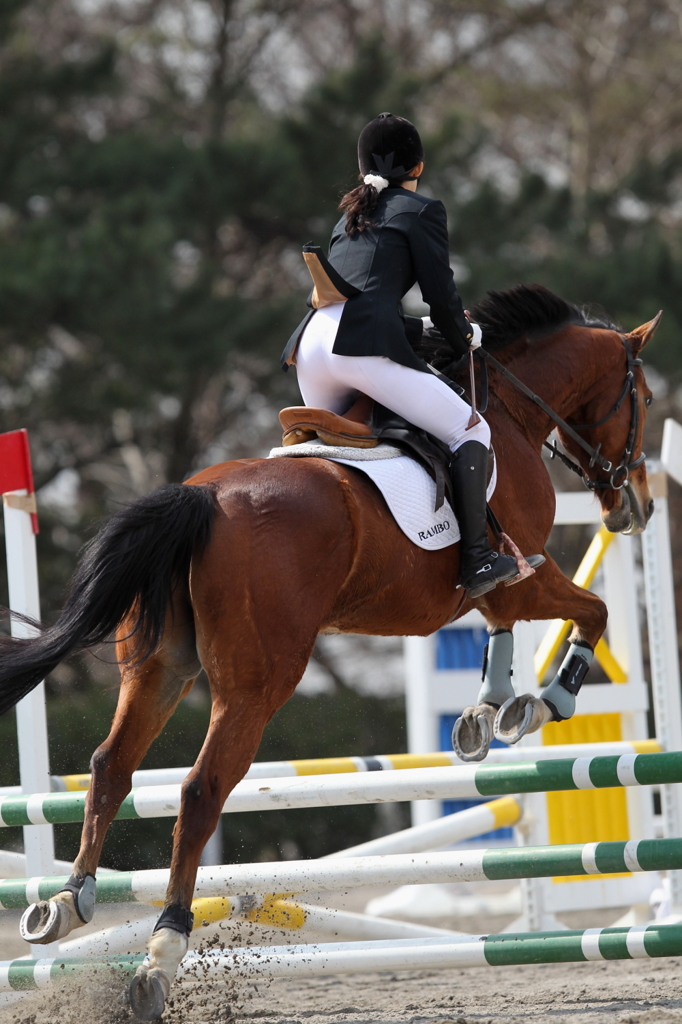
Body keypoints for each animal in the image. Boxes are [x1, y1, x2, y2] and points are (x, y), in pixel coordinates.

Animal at [0, 282, 655, 1015]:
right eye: (645, 398)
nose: (635, 506)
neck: (508, 416)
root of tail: (201, 497)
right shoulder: (525, 574)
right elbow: (592, 612)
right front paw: (544, 704)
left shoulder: (501, 588)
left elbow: (504, 632)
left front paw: (486, 715)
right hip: (259, 684)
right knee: (201, 791)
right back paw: (161, 955)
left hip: (160, 667)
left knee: (112, 766)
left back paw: (65, 903)